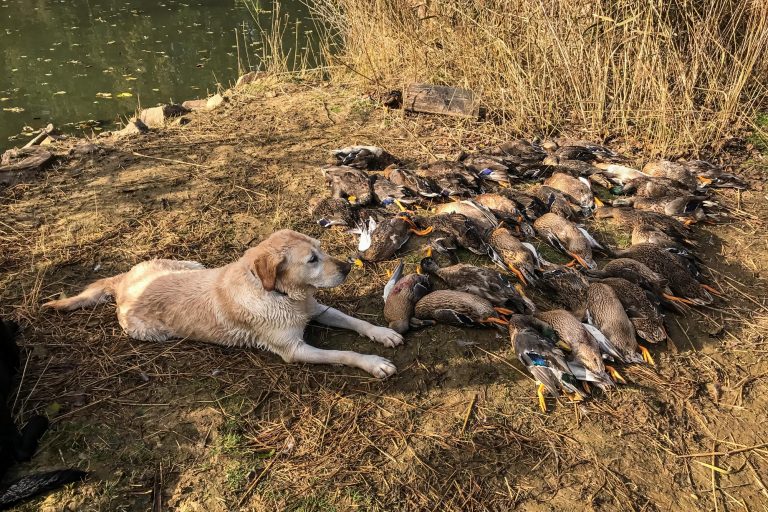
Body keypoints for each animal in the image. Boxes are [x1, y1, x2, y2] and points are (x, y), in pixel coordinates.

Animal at [43, 230, 402, 378]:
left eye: (322, 249)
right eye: (312, 259)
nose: (347, 267)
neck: (281, 294)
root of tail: (123, 283)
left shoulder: (315, 309)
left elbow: (357, 322)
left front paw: (383, 333)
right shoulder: (294, 349)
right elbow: (344, 353)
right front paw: (373, 363)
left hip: (188, 263)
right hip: (147, 332)